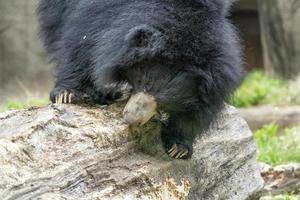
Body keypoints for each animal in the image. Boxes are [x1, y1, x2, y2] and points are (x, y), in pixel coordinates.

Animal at [37, 0, 244, 159]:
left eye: (165, 100)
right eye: (143, 83)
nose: (132, 119)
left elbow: (195, 115)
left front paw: (179, 148)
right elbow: (81, 40)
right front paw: (67, 94)